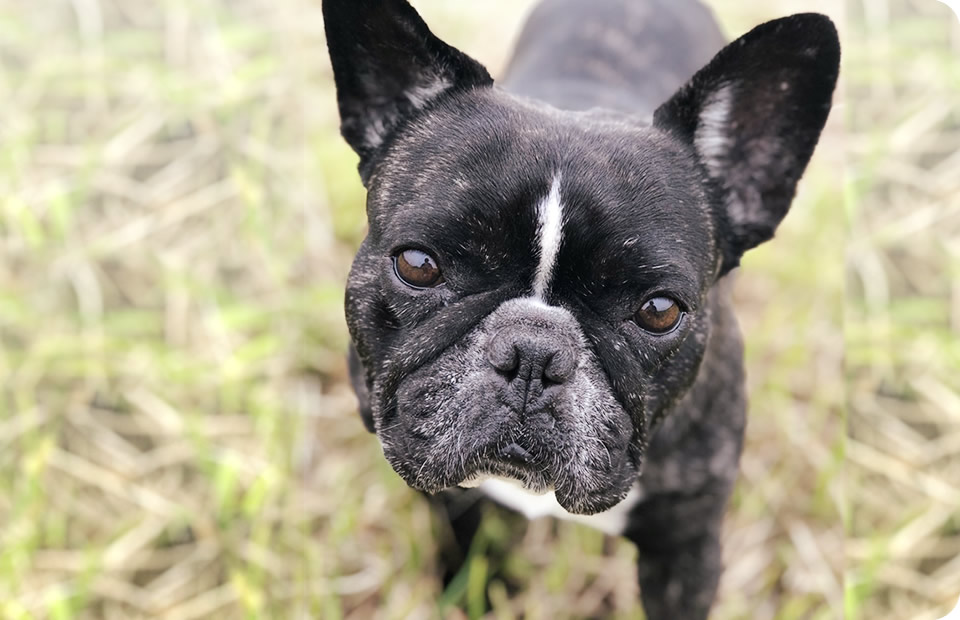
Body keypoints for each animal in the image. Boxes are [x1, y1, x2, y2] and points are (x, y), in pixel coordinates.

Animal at [320, 1, 832, 616]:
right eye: (418, 264)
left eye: (660, 311)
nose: (533, 353)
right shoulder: (448, 495)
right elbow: (469, 557)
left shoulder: (686, 544)